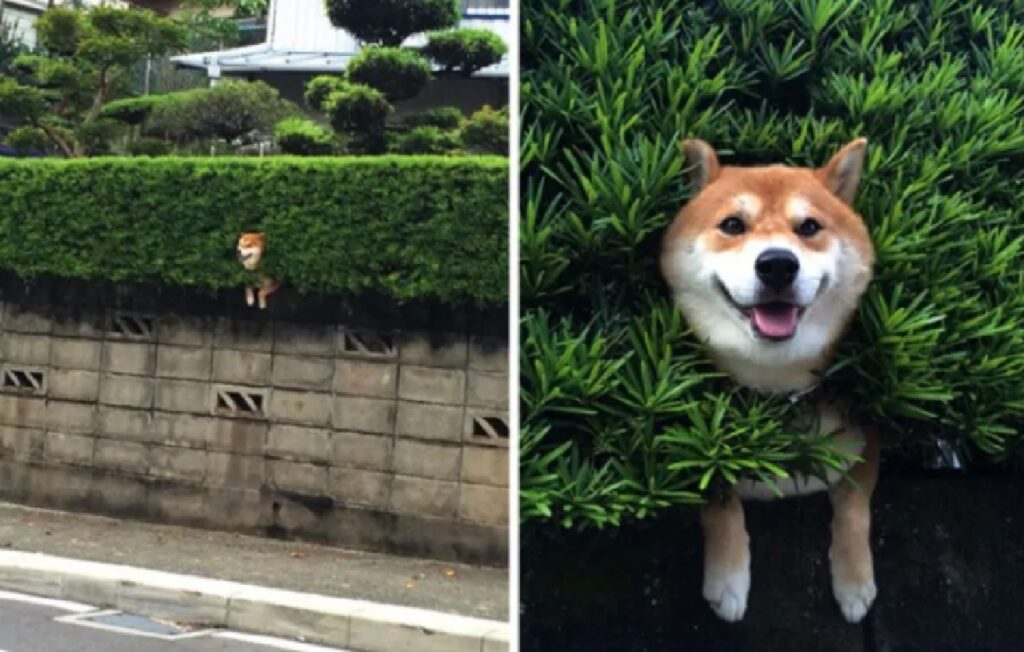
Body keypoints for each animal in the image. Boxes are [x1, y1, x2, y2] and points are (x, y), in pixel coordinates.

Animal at [663, 140, 880, 622]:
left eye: (809, 227)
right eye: (732, 225)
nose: (778, 263)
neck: (776, 389)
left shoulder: (870, 437)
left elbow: (855, 508)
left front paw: (855, 582)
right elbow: (719, 499)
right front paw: (728, 577)